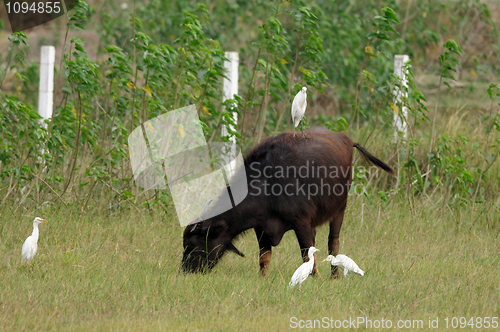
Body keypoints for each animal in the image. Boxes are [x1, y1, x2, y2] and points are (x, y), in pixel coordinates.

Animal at [181, 127, 394, 278]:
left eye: (194, 245)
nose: (185, 271)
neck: (268, 185)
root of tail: (344, 138)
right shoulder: (262, 228)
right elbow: (264, 258)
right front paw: (263, 278)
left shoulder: (301, 222)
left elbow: (307, 254)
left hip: (339, 209)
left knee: (333, 242)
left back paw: (335, 276)